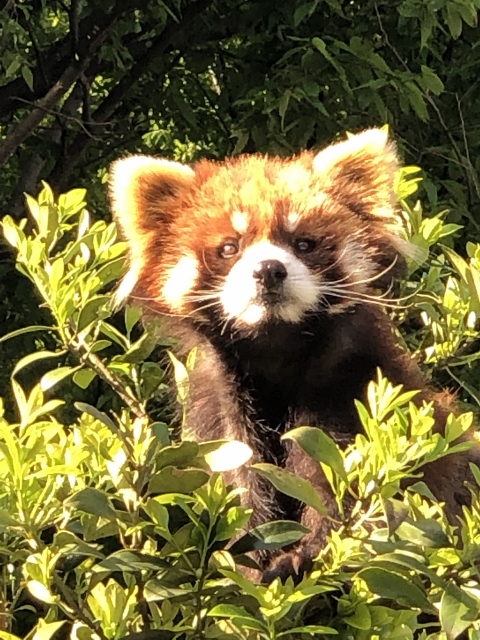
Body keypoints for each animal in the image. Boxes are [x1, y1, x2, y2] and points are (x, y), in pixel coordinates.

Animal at [109, 130, 480, 584]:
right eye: (229, 247)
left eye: (304, 243)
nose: (268, 269)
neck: (274, 349)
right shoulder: (217, 403)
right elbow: (236, 480)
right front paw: (247, 563)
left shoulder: (346, 388)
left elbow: (335, 481)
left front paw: (309, 553)